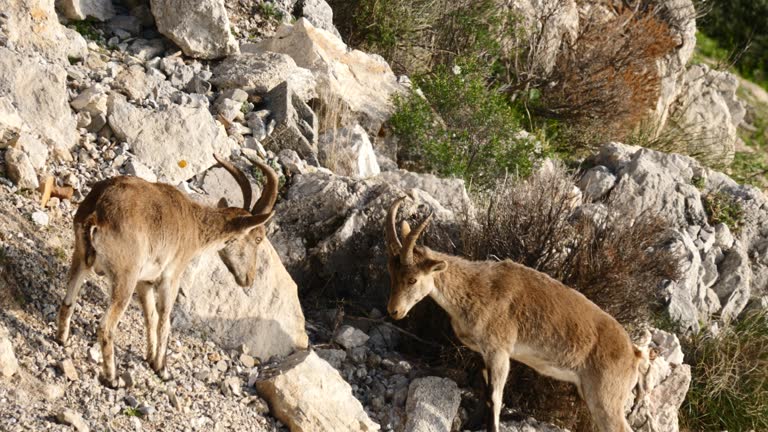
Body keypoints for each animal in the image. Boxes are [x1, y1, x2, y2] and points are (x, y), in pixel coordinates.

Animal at [57, 155, 280, 388]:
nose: (249, 279)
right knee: (106, 327)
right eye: (258, 238)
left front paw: (150, 357)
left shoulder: (145, 281)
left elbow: (151, 316)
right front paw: (162, 369)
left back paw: (62, 339)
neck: (194, 226)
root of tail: (96, 212)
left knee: (68, 301)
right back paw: (113, 378)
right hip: (124, 276)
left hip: (80, 257)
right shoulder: (171, 276)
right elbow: (164, 320)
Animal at [384, 198, 640, 432]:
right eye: (391, 273)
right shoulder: (483, 353)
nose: (394, 311)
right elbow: (485, 394)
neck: (474, 288)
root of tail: (634, 354)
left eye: (412, 279)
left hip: (605, 397)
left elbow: (496, 399)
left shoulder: (500, 352)